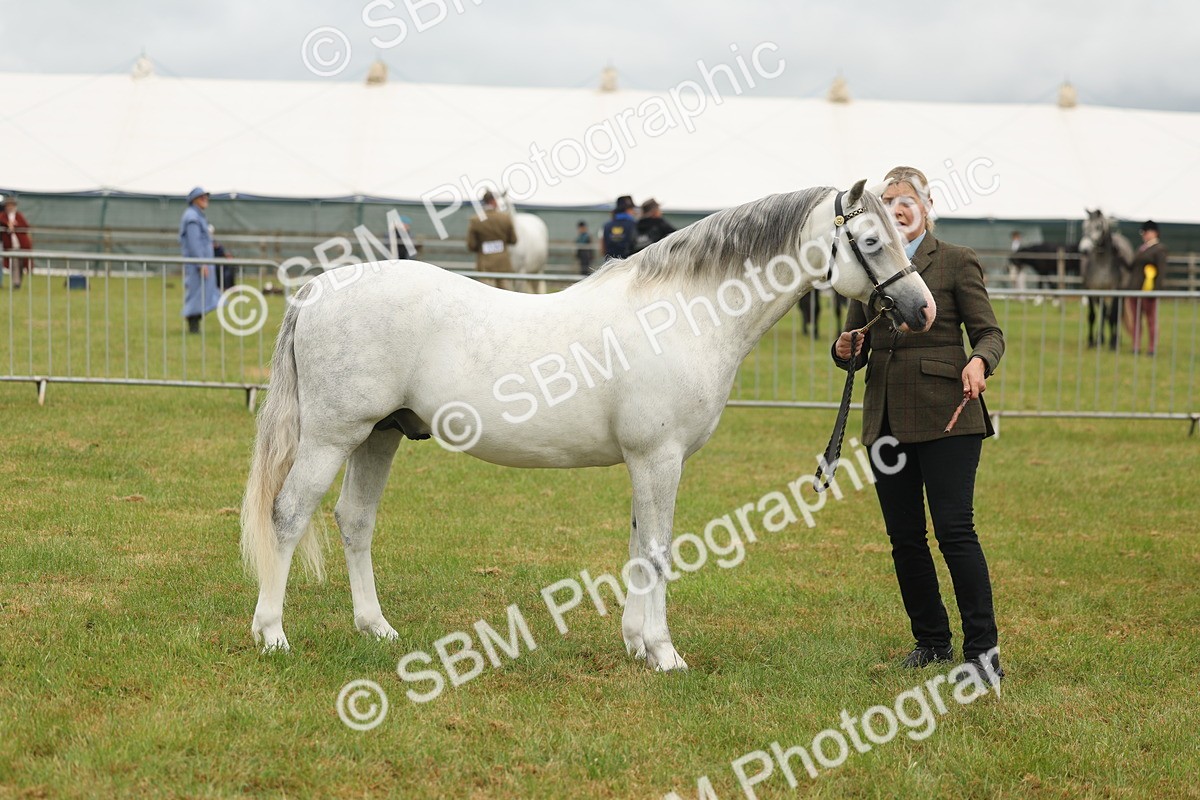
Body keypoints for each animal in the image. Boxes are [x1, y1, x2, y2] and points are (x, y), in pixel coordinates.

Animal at [240, 180, 936, 670]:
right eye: (873, 241)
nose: (923, 309)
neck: (684, 313)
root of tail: (317, 290)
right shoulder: (659, 457)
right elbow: (657, 552)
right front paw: (665, 655)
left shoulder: (647, 462)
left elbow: (637, 548)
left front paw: (635, 643)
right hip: (332, 436)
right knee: (288, 514)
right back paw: (272, 634)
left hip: (380, 435)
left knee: (355, 521)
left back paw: (376, 629)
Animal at [1078, 209, 1134, 349]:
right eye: (1084, 226)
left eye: (1098, 226)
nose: (1084, 250)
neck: (1102, 263)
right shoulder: (1091, 290)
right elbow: (1093, 315)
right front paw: (1091, 341)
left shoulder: (1114, 290)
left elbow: (1113, 316)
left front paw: (1113, 343)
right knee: (1103, 314)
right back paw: (1100, 338)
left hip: (1121, 293)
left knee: (1116, 314)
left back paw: (1116, 339)